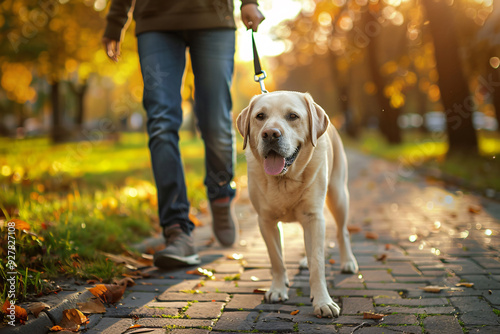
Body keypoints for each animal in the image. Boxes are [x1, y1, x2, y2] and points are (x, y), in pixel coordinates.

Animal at [236, 90, 358, 318]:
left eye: (292, 116)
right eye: (260, 116)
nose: (270, 134)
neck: (284, 180)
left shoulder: (314, 217)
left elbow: (318, 263)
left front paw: (322, 301)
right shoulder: (265, 221)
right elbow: (276, 258)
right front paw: (277, 289)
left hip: (339, 195)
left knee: (342, 232)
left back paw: (347, 261)